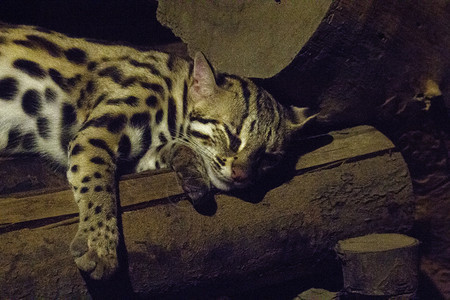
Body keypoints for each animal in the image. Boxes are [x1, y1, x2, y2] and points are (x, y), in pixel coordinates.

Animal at [0, 22, 314, 278]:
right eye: (232, 135)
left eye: (269, 157)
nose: (241, 176)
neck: (174, 95)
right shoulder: (94, 134)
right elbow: (98, 183)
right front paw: (100, 244)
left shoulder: (138, 154)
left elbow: (172, 150)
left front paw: (193, 174)